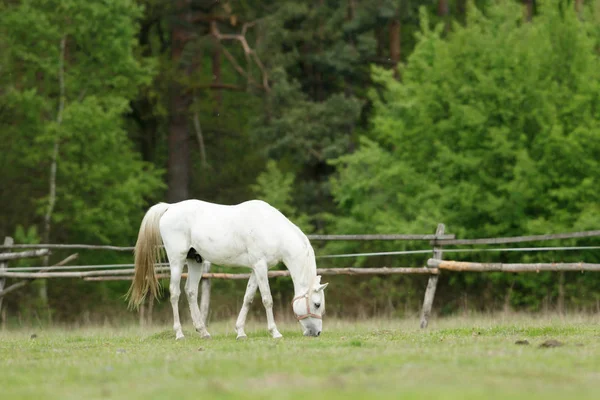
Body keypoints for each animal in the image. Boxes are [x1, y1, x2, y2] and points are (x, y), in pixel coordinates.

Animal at [126, 198, 328, 340]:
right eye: (317, 304)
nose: (317, 333)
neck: (272, 230)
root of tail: (170, 207)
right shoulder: (260, 266)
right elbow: (267, 299)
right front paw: (275, 332)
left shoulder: (256, 269)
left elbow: (248, 298)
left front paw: (240, 332)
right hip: (177, 260)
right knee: (175, 293)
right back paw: (179, 334)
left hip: (195, 261)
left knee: (190, 291)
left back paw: (203, 332)